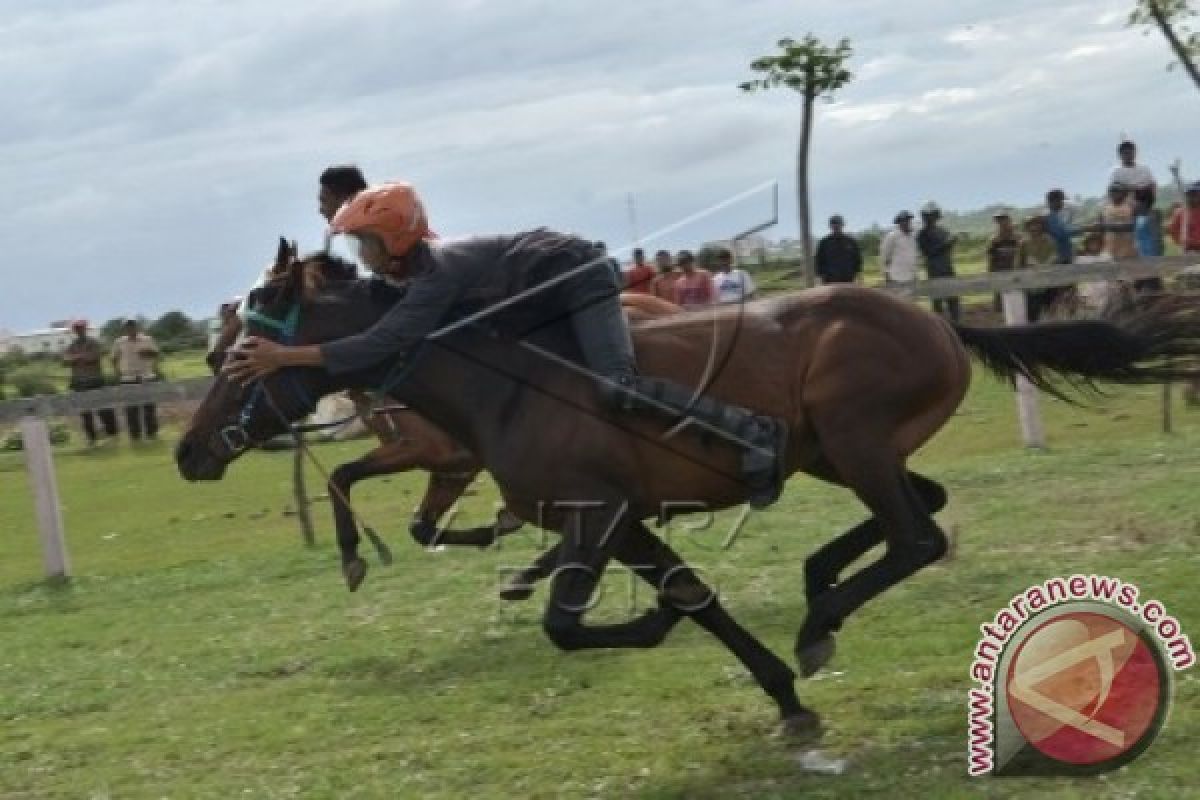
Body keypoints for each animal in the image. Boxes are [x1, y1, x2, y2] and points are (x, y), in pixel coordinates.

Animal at [177, 251, 1200, 738]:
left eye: (237, 356)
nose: (189, 452)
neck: (498, 381)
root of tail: (942, 321)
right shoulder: (623, 521)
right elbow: (694, 599)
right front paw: (784, 699)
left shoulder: (595, 518)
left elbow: (574, 623)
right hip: (839, 454)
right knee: (925, 507)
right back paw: (816, 583)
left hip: (858, 440)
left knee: (917, 535)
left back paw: (820, 614)